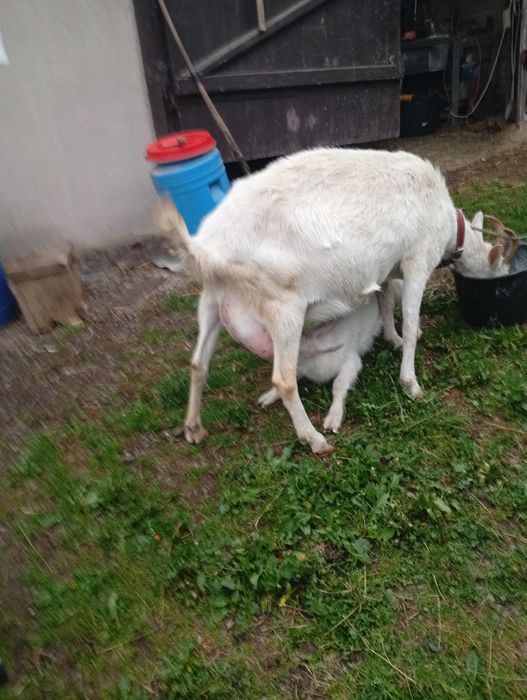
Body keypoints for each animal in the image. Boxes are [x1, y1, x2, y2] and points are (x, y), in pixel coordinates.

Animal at [156, 148, 509, 455]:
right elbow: (411, 325)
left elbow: (384, 302)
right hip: (283, 306)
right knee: (284, 380)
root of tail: (204, 248)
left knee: (198, 363)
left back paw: (193, 428)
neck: (449, 226)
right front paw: (411, 383)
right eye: (500, 269)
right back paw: (314, 439)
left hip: (211, 301)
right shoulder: (417, 259)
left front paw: (391, 339)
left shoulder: (383, 270)